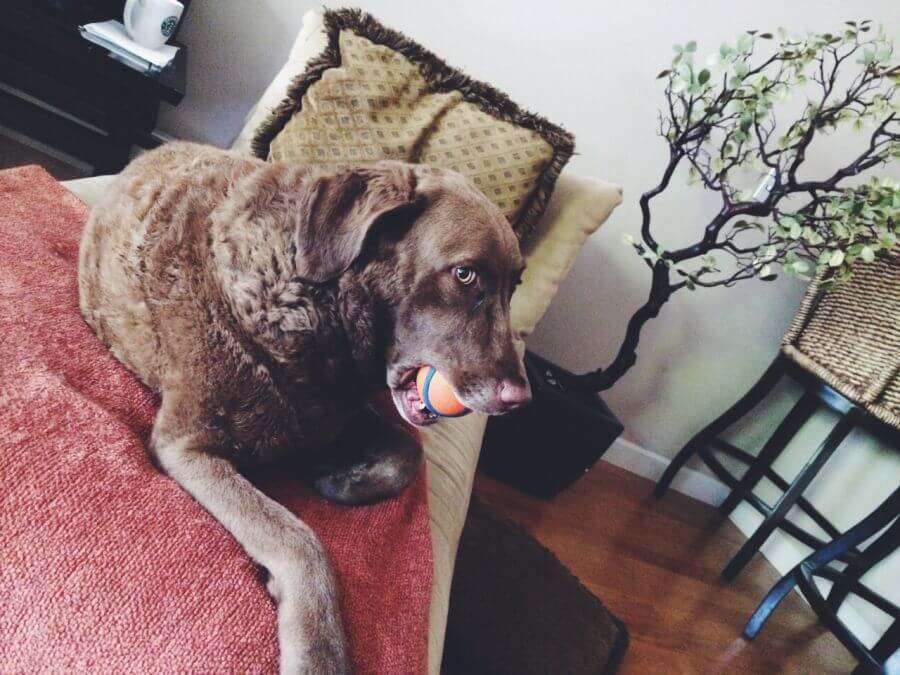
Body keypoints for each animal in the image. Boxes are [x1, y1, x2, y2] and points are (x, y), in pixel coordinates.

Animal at [77, 141, 532, 672]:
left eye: (515, 286)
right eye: (465, 274)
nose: (519, 399)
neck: (314, 303)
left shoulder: (338, 414)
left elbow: (408, 454)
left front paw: (340, 477)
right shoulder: (186, 446)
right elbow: (299, 541)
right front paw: (320, 649)